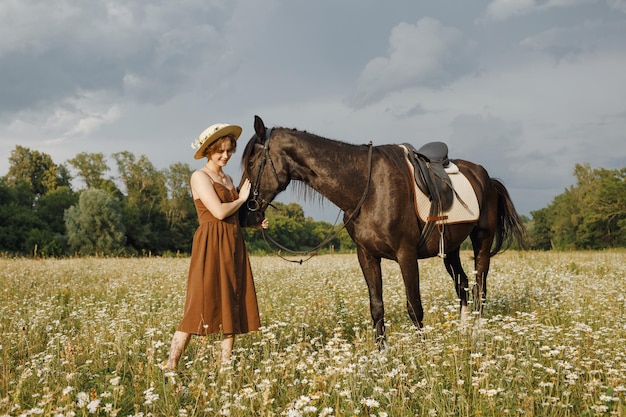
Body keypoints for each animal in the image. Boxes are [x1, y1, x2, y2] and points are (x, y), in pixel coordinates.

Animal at [241, 114, 524, 344]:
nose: (246, 213)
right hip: (451, 248)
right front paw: (381, 357)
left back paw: (476, 335)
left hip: (482, 241)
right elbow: (376, 307)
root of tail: (486, 177)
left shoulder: (406, 255)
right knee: (463, 284)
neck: (367, 189)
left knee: (480, 288)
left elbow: (414, 307)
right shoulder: (366, 256)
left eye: (253, 162)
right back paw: (463, 332)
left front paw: (423, 354)